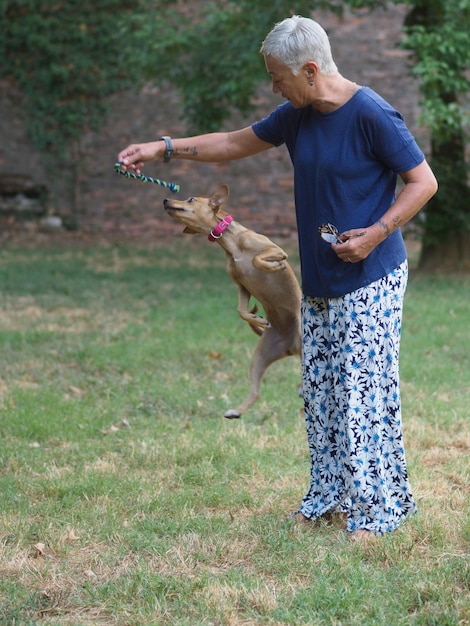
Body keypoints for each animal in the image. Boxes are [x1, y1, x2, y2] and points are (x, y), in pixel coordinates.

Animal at [162, 185, 302, 420]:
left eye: (191, 199)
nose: (165, 200)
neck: (231, 243)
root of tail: (291, 346)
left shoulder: (276, 249)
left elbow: (258, 259)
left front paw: (274, 267)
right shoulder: (241, 285)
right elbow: (240, 310)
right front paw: (256, 319)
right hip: (260, 356)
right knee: (256, 392)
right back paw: (235, 411)